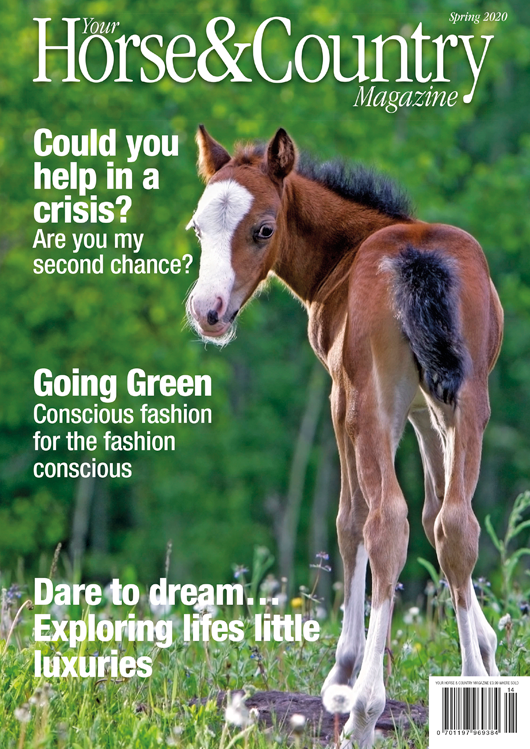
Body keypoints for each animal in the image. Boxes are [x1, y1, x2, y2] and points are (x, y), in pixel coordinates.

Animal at [185, 126, 504, 748]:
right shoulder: (428, 409)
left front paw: (341, 674)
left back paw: (361, 710)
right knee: (457, 524)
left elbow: (352, 521)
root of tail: (416, 260)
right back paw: (471, 686)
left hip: (370, 406)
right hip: (469, 399)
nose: (208, 311)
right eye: (199, 228)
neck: (347, 250)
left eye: (263, 228)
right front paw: (487, 652)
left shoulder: (342, 397)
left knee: (385, 523)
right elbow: (438, 513)